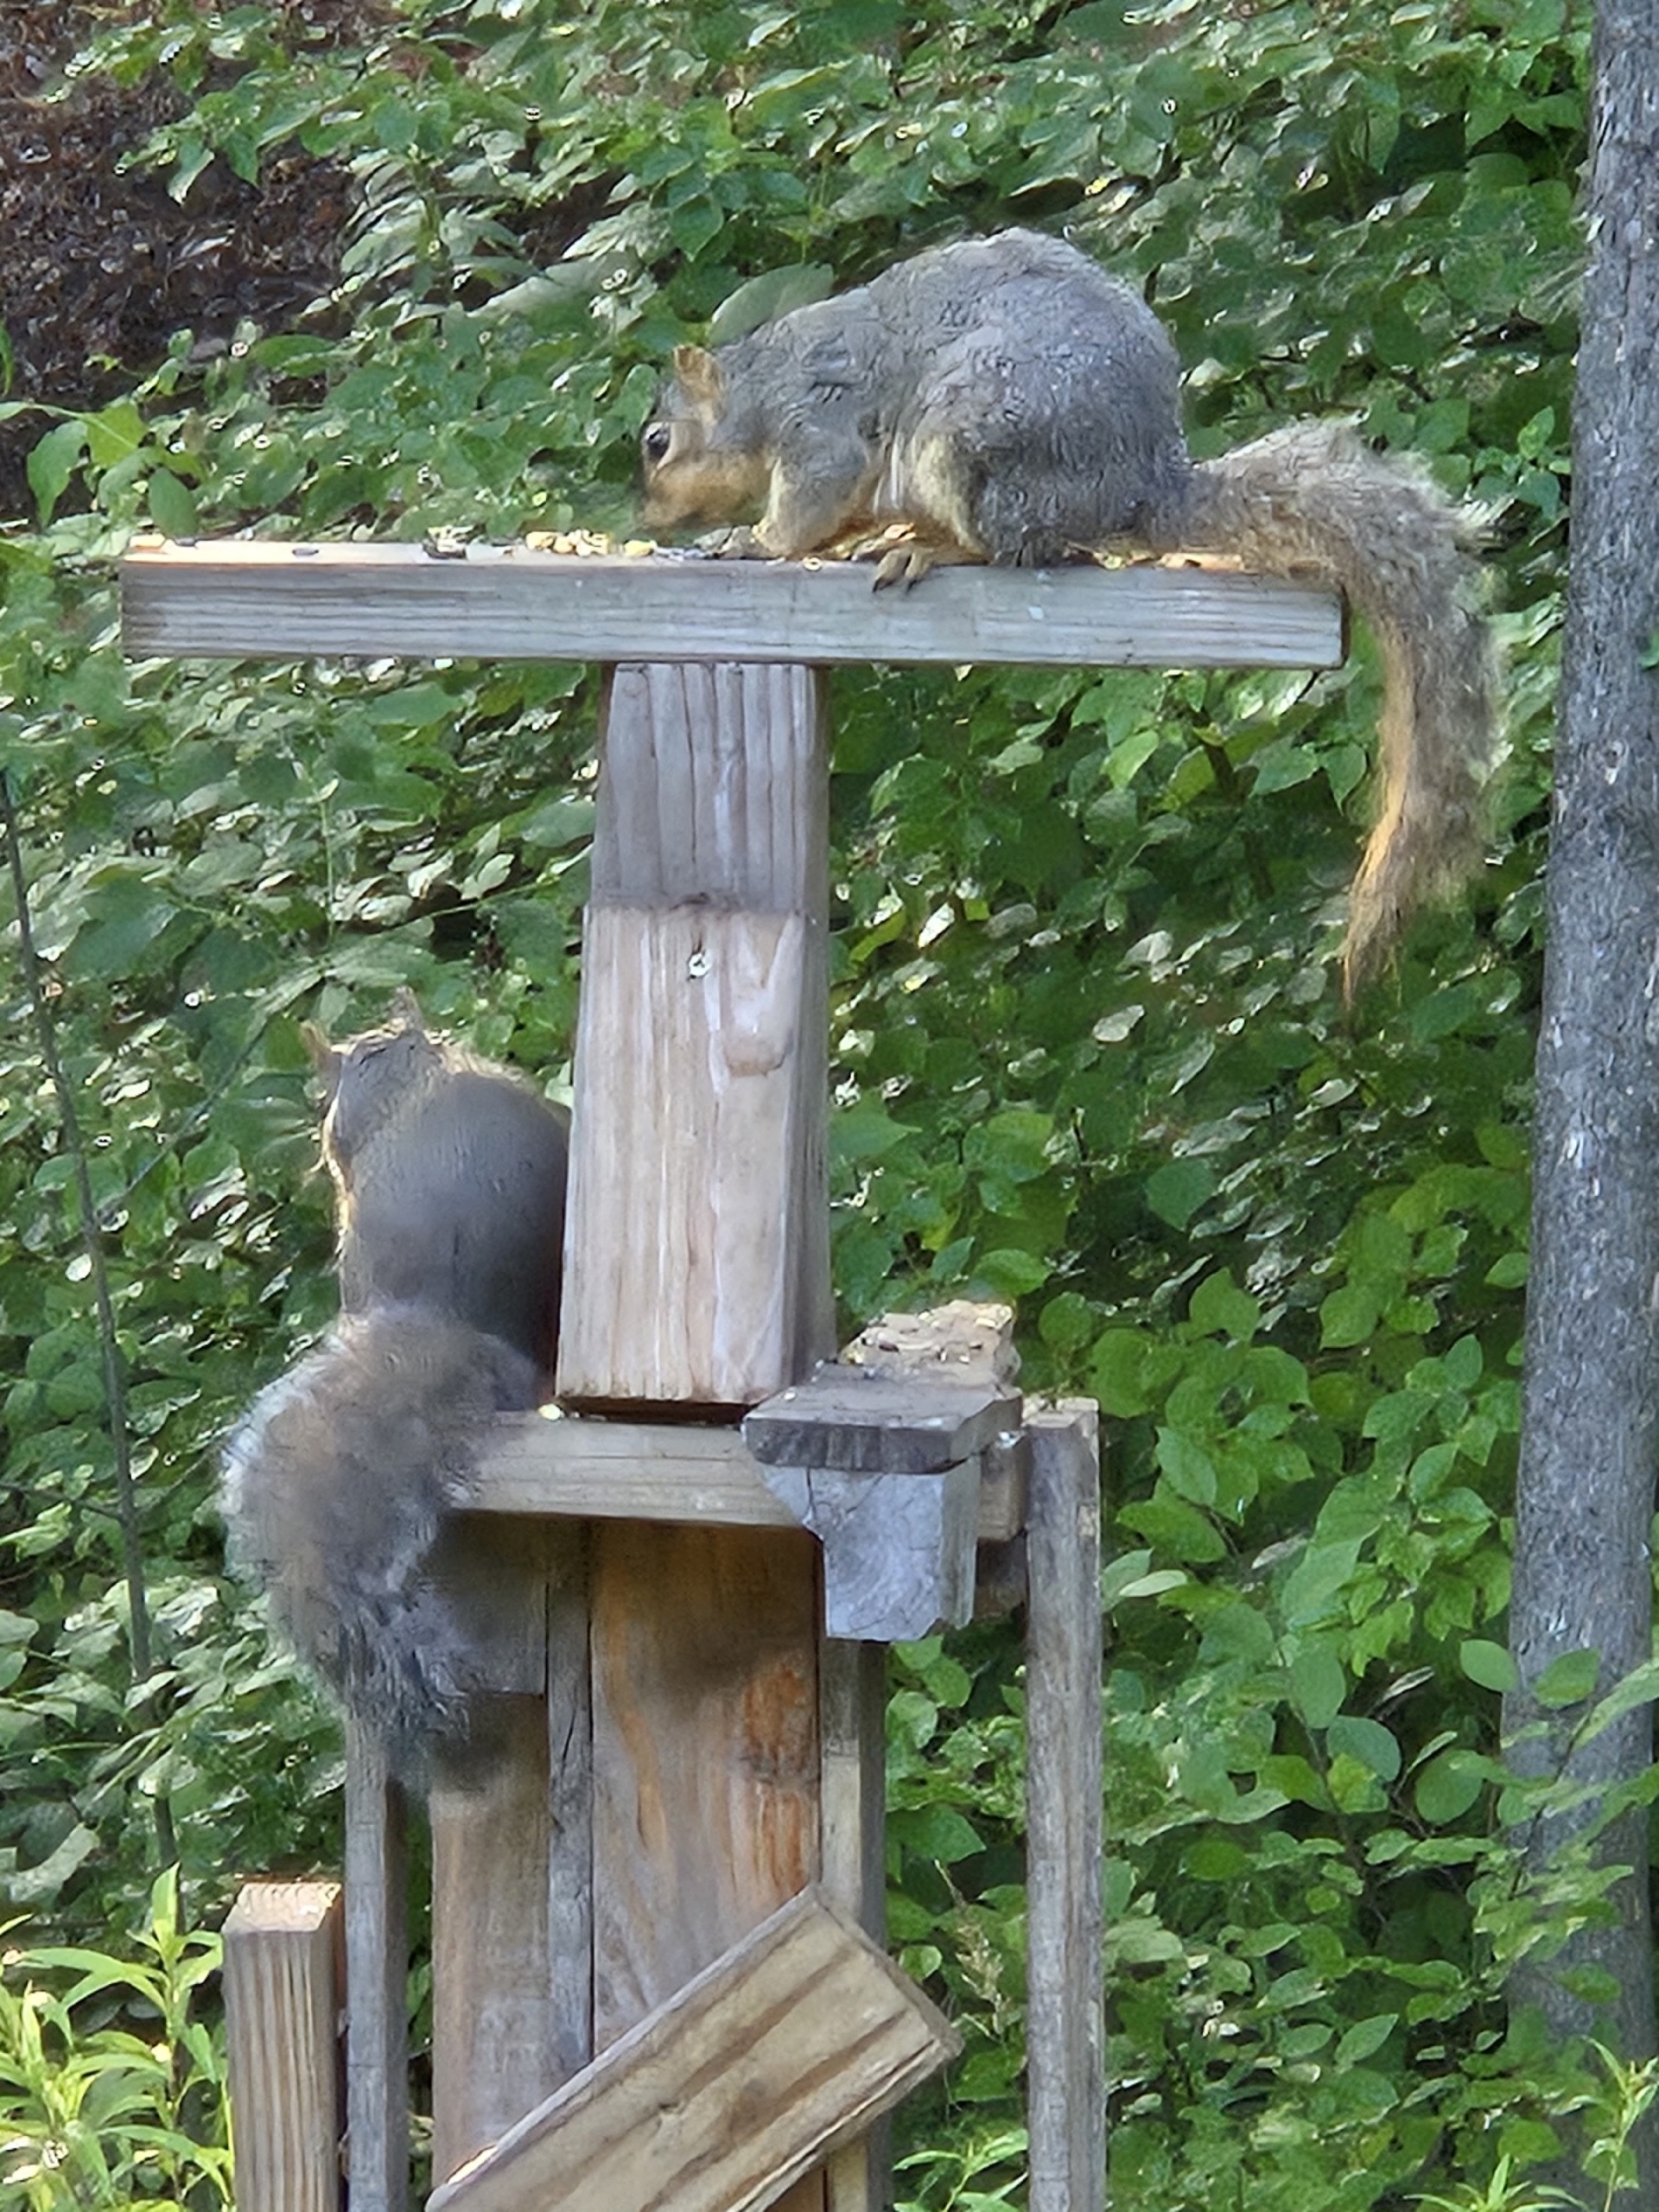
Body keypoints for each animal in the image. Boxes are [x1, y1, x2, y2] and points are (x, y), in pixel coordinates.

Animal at [639, 227, 1501, 993]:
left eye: (657, 443)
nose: (646, 515)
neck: (759, 389)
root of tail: (1139, 485)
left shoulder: (820, 427)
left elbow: (810, 503)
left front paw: (752, 541)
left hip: (970, 431)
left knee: (1007, 546)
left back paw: (931, 548)